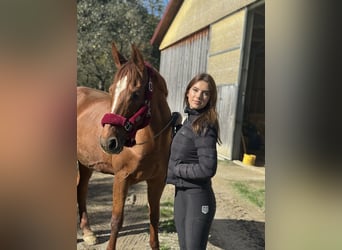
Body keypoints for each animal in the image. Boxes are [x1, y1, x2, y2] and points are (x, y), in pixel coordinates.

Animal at [77, 43, 176, 250]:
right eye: (111, 89)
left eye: (136, 93)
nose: (108, 141)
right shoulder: (121, 179)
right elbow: (116, 220)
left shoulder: (157, 182)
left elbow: (154, 218)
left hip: (85, 163)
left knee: (81, 189)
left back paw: (88, 232)